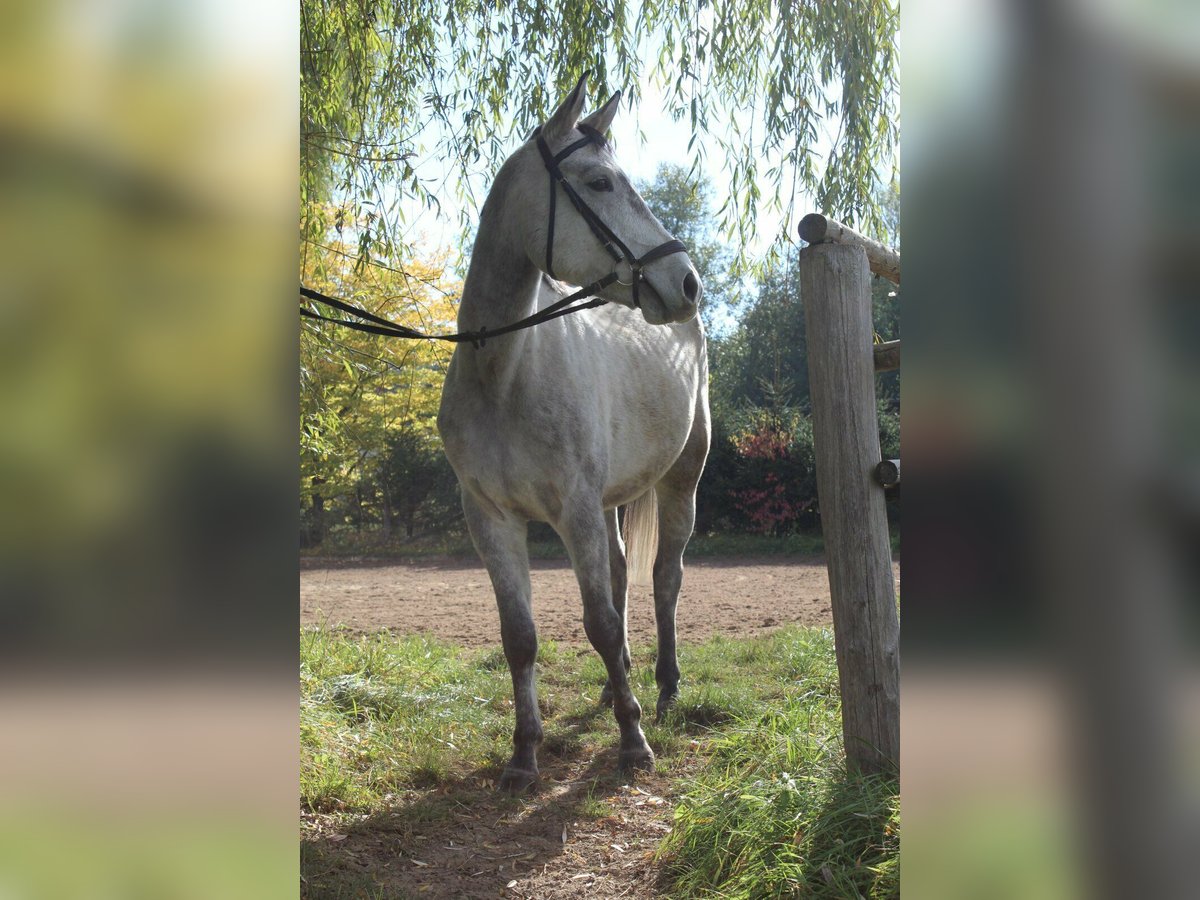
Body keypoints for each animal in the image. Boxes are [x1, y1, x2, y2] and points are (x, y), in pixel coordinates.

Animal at [436, 77, 705, 796]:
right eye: (600, 182)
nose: (686, 281)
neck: (506, 374)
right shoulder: (490, 517)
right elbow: (521, 636)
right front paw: (524, 755)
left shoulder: (575, 511)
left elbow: (602, 624)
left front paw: (634, 744)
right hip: (613, 498)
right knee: (621, 572)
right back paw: (620, 691)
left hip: (681, 480)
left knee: (663, 578)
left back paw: (663, 690)